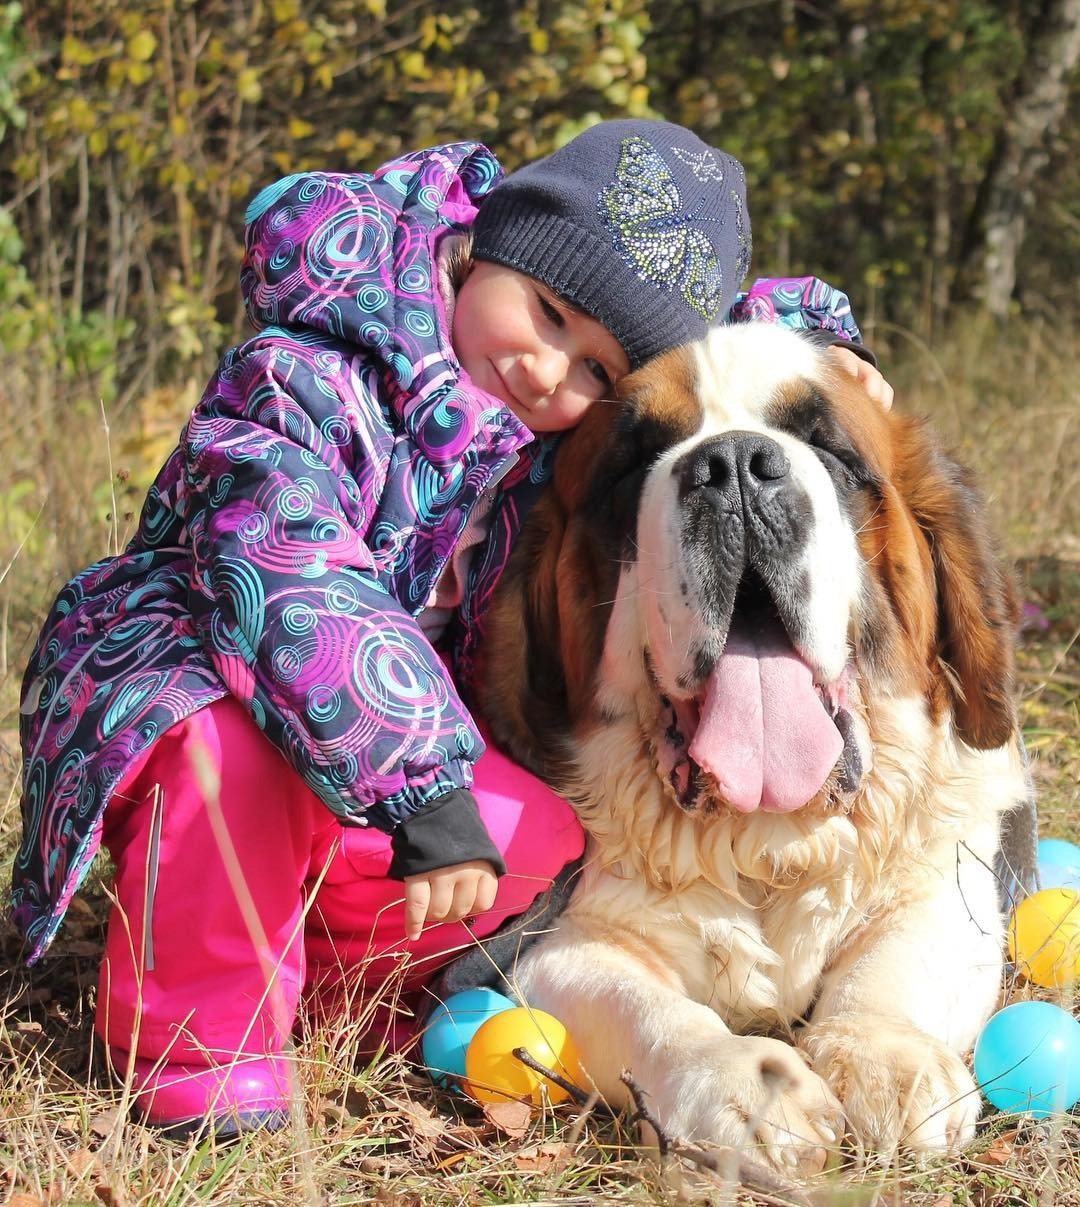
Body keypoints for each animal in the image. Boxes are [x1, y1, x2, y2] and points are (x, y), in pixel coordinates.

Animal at [475, 321, 1032, 1168]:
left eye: (828, 447)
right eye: (634, 462)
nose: (732, 464)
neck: (771, 842)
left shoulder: (947, 880)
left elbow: (900, 952)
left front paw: (881, 1051)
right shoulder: (557, 943)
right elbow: (638, 1002)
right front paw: (749, 1082)